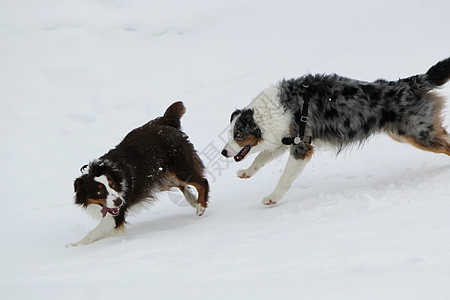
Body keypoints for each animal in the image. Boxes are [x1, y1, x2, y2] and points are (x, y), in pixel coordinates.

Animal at [68, 101, 209, 246]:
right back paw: (194, 201)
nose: (119, 201)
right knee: (180, 184)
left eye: (112, 185)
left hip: (180, 167)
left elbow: (93, 233)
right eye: (99, 192)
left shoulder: (116, 216)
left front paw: (74, 246)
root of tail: (166, 121)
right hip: (161, 174)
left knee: (202, 182)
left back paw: (200, 207)